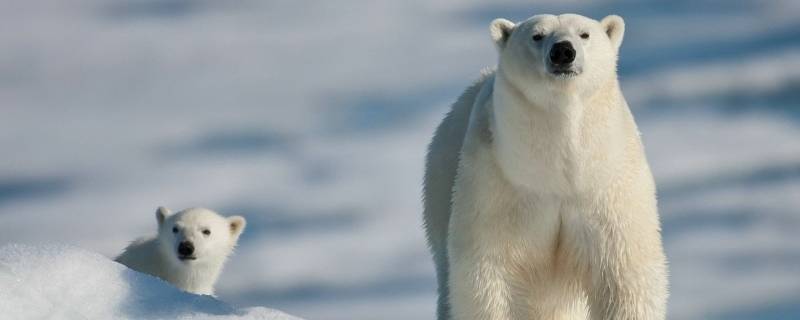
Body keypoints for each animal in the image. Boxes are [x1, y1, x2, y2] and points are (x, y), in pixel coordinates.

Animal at [424, 13, 668, 318]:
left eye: (584, 34)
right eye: (537, 35)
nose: (563, 51)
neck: (557, 173)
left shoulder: (607, 187)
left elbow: (623, 274)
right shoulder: (498, 186)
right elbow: (492, 275)